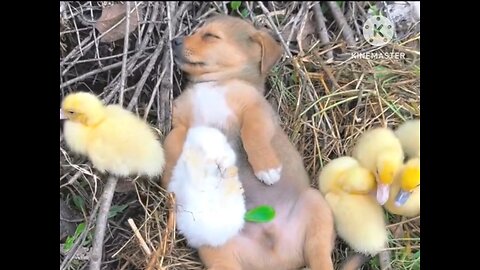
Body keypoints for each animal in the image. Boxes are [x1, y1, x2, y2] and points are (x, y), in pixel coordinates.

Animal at [162, 14, 360, 270]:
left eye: (211, 36)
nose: (174, 41)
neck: (213, 84)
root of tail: (277, 261)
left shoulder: (256, 109)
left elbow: (252, 133)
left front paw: (267, 168)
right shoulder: (180, 124)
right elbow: (171, 143)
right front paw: (172, 176)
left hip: (316, 206)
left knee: (319, 255)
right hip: (216, 248)